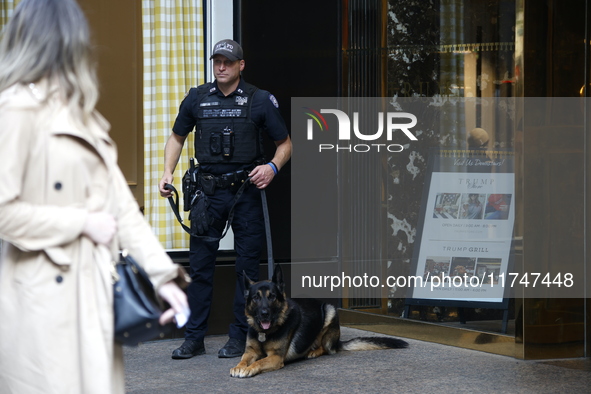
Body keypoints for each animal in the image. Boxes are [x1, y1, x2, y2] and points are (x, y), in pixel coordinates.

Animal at [230, 264, 408, 378]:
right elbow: (243, 359)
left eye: (272, 297)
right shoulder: (250, 352)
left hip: (330, 311)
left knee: (326, 348)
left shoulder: (275, 357)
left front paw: (249, 369)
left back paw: (313, 351)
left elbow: (259, 362)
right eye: (256, 298)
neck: (265, 333)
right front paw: (238, 367)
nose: (264, 314)